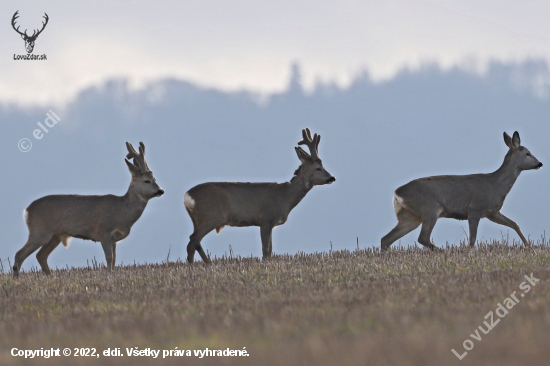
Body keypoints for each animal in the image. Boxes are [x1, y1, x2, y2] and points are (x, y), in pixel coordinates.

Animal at [12, 142, 164, 276]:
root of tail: (27, 210)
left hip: (55, 235)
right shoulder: (104, 231)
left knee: (41, 256)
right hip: (40, 231)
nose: (160, 191)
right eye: (146, 181)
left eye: (155, 179)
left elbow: (114, 259)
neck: (122, 212)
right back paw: (17, 280)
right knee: (19, 254)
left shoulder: (114, 239)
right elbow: (109, 258)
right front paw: (108, 276)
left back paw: (51, 277)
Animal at [184, 129, 336, 264]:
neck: (285, 196)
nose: (332, 178)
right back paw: (204, 264)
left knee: (192, 242)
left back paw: (197, 265)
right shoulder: (266, 219)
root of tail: (187, 196)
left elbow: (270, 250)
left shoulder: (270, 223)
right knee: (194, 239)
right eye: (318, 168)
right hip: (212, 215)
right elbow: (266, 250)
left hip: (198, 219)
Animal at [384, 132, 544, 252]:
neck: (496, 185)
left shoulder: (492, 212)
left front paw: (529, 246)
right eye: (528, 153)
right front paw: (470, 253)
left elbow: (514, 224)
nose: (540, 163)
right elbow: (472, 239)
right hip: (430, 208)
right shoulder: (474, 209)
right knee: (422, 238)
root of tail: (397, 193)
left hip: (410, 216)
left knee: (386, 239)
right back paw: (442, 251)